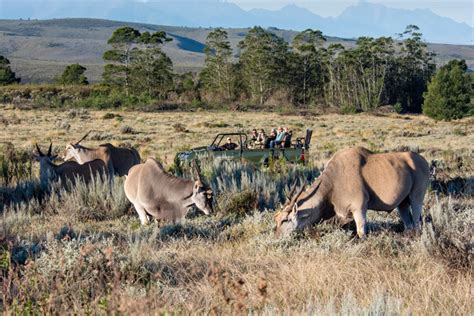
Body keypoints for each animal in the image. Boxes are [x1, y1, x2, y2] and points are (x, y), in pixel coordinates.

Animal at [276, 147, 432, 238]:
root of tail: (423, 161)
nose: (277, 236)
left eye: (285, 220)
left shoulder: (359, 208)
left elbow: (361, 232)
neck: (333, 181)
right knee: (408, 224)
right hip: (402, 203)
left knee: (417, 222)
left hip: (416, 198)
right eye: (275, 219)